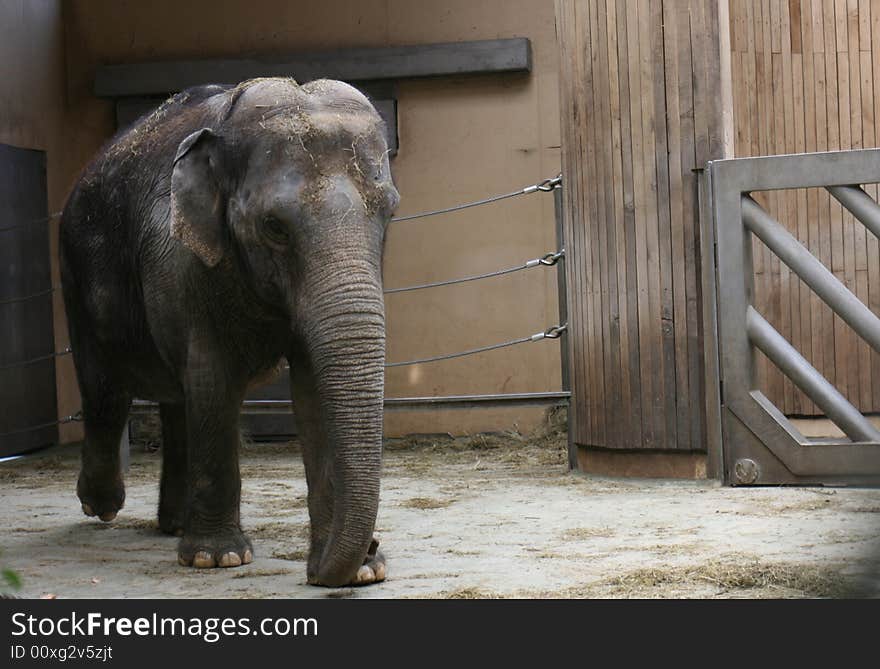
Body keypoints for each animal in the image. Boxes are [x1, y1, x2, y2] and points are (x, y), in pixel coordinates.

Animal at [62, 75, 402, 584]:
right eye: (274, 227)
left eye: (389, 214)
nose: (320, 570)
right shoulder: (180, 260)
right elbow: (214, 378)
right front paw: (217, 558)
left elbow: (311, 388)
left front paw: (361, 571)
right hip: (76, 273)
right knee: (105, 389)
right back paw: (102, 505)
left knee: (176, 399)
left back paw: (173, 524)